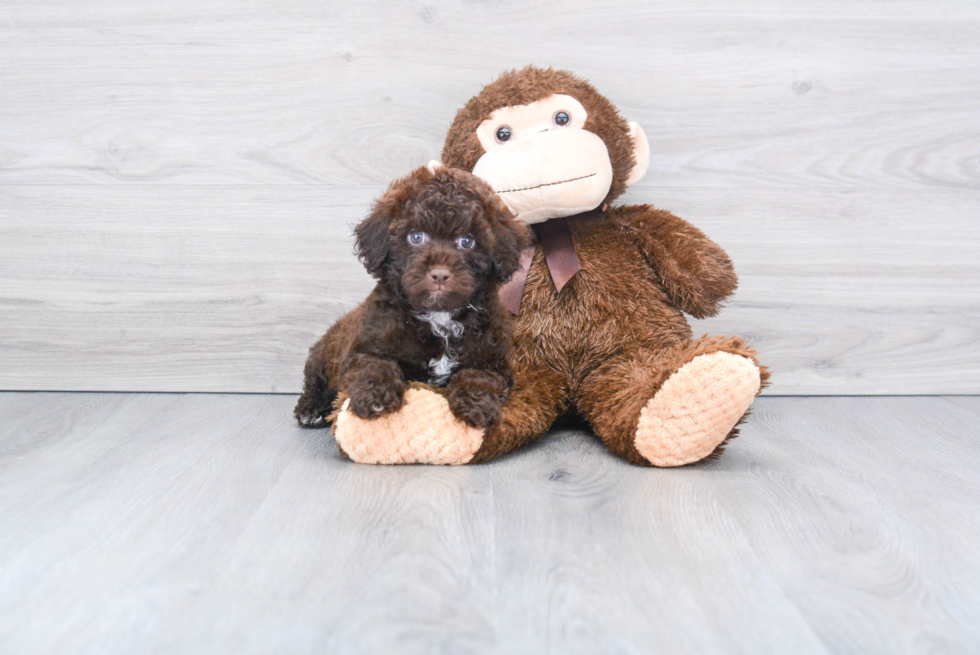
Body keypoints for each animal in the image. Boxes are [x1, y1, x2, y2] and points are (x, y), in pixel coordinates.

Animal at [294, 164, 532, 430]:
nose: (439, 274)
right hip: (321, 356)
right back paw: (311, 409)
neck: (439, 317)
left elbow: (480, 376)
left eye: (467, 241)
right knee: (315, 383)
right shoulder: (364, 347)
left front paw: (476, 404)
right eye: (416, 237)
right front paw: (375, 397)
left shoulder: (493, 360)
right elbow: (373, 366)